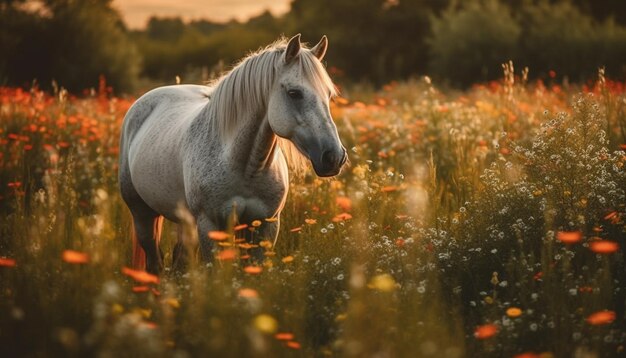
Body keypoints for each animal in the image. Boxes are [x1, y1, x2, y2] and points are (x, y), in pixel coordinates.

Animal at [119, 35, 346, 274]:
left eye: (328, 94)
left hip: (185, 220)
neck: (244, 167)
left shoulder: (266, 224)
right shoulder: (210, 225)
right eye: (294, 93)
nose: (334, 157)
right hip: (141, 212)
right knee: (154, 261)